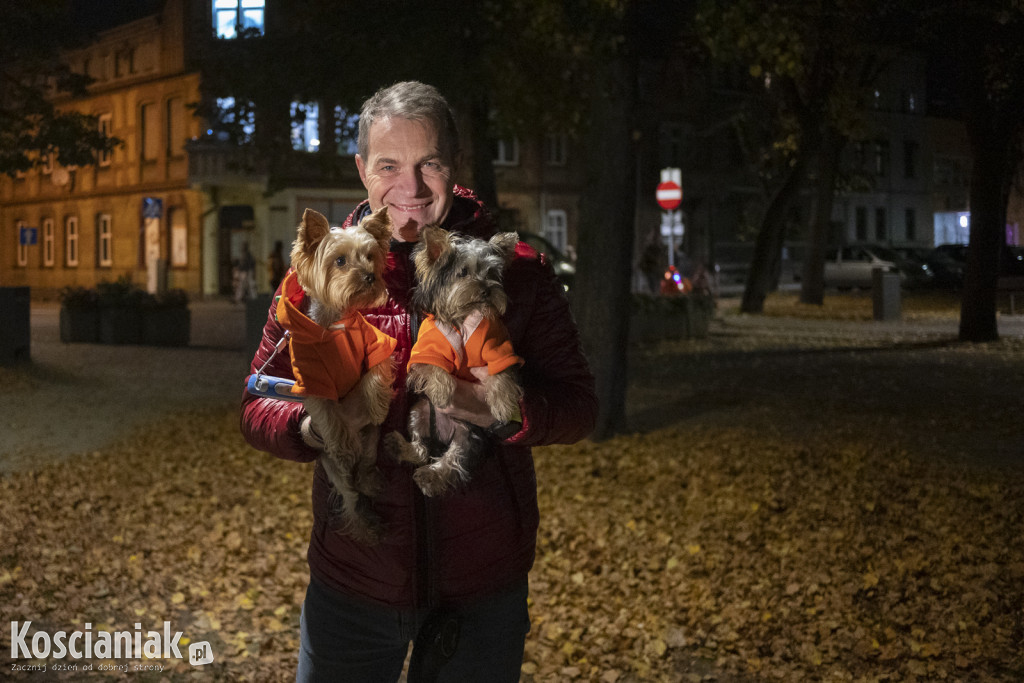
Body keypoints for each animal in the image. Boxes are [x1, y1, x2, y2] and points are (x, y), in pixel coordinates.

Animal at [280, 208, 395, 544]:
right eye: (340, 261)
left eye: (370, 257)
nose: (370, 276)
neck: (334, 324)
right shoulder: (312, 380)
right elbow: (329, 414)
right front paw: (342, 440)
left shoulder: (376, 343)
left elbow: (375, 375)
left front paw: (377, 406)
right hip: (331, 465)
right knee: (350, 491)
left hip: (372, 440)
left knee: (365, 465)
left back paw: (370, 480)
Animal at [387, 224, 524, 497]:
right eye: (463, 272)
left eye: (491, 272)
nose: (486, 290)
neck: (463, 318)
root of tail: (443, 434)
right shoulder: (425, 352)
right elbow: (433, 368)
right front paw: (441, 391)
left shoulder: (498, 347)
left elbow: (501, 374)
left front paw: (504, 405)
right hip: (419, 411)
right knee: (421, 448)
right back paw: (402, 448)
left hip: (469, 432)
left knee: (455, 458)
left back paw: (432, 476)